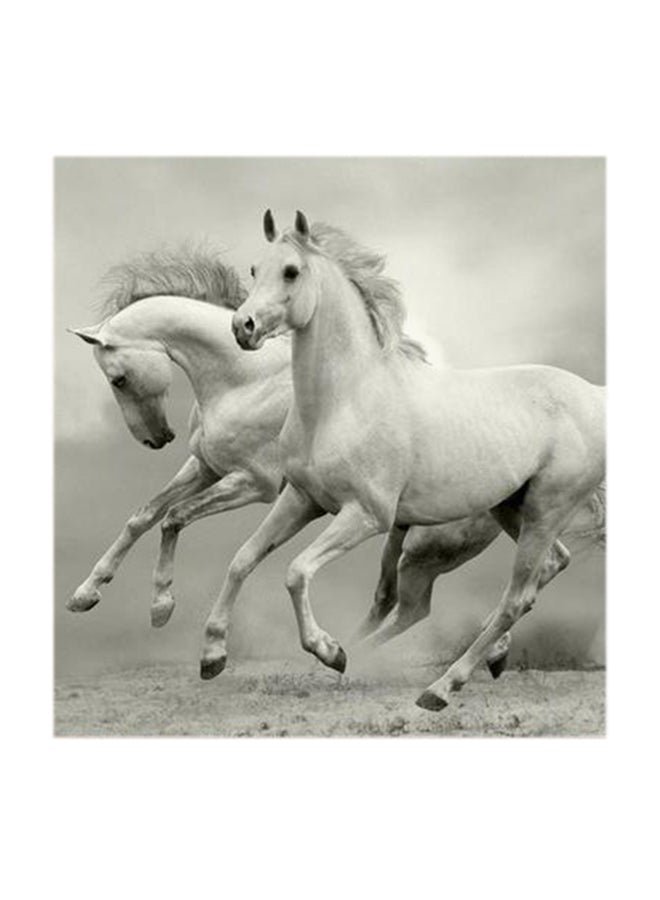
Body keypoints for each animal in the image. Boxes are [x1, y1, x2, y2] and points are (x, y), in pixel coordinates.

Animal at [66, 247, 516, 656]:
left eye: (118, 379)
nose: (157, 439)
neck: (245, 379)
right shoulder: (206, 467)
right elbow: (143, 516)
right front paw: (86, 594)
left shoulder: (254, 484)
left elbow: (174, 518)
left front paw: (162, 606)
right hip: (403, 535)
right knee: (395, 598)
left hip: (425, 546)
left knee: (423, 604)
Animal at [211, 210, 605, 711]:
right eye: (253, 270)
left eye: (291, 271)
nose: (242, 327)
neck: (344, 400)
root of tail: (595, 396)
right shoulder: (302, 499)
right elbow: (243, 559)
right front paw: (211, 656)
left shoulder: (366, 515)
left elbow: (296, 571)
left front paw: (329, 651)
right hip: (512, 509)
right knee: (548, 567)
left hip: (542, 511)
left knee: (513, 598)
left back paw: (440, 687)